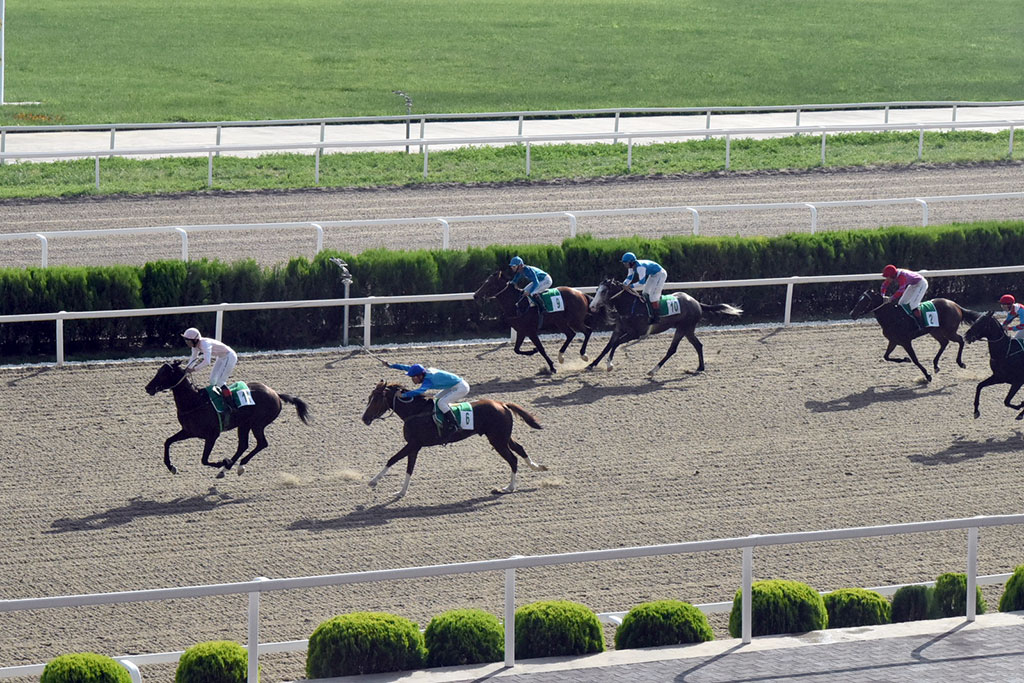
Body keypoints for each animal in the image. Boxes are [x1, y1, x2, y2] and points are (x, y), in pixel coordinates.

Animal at [145, 360, 307, 479]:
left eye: (164, 373)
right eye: (158, 371)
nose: (148, 388)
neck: (195, 402)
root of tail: (276, 394)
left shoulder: (212, 435)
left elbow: (204, 460)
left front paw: (222, 461)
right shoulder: (188, 431)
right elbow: (168, 442)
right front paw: (171, 466)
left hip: (257, 423)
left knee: (262, 443)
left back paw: (235, 465)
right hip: (244, 424)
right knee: (243, 445)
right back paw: (227, 468)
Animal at [364, 382, 548, 499]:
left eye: (376, 399)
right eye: (369, 397)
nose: (364, 418)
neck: (416, 411)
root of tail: (502, 404)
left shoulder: (413, 444)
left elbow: (392, 459)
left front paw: (373, 481)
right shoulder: (414, 447)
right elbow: (409, 468)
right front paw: (401, 492)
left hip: (497, 440)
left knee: (513, 459)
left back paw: (509, 487)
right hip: (502, 437)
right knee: (520, 449)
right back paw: (537, 467)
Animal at [585, 276, 745, 376]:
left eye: (604, 291)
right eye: (597, 290)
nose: (592, 306)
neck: (631, 306)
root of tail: (696, 302)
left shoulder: (635, 333)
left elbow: (616, 344)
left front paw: (609, 365)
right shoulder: (619, 330)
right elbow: (607, 346)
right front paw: (590, 365)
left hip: (683, 328)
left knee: (672, 350)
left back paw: (653, 371)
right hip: (688, 330)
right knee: (698, 345)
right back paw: (700, 367)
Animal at [847, 290, 983, 385]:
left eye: (865, 301)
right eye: (859, 299)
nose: (852, 314)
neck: (892, 316)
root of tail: (955, 305)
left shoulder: (906, 341)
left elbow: (915, 360)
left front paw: (927, 376)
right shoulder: (894, 341)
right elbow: (886, 357)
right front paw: (905, 359)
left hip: (949, 331)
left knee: (960, 340)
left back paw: (960, 363)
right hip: (935, 331)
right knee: (944, 343)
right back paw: (935, 365)